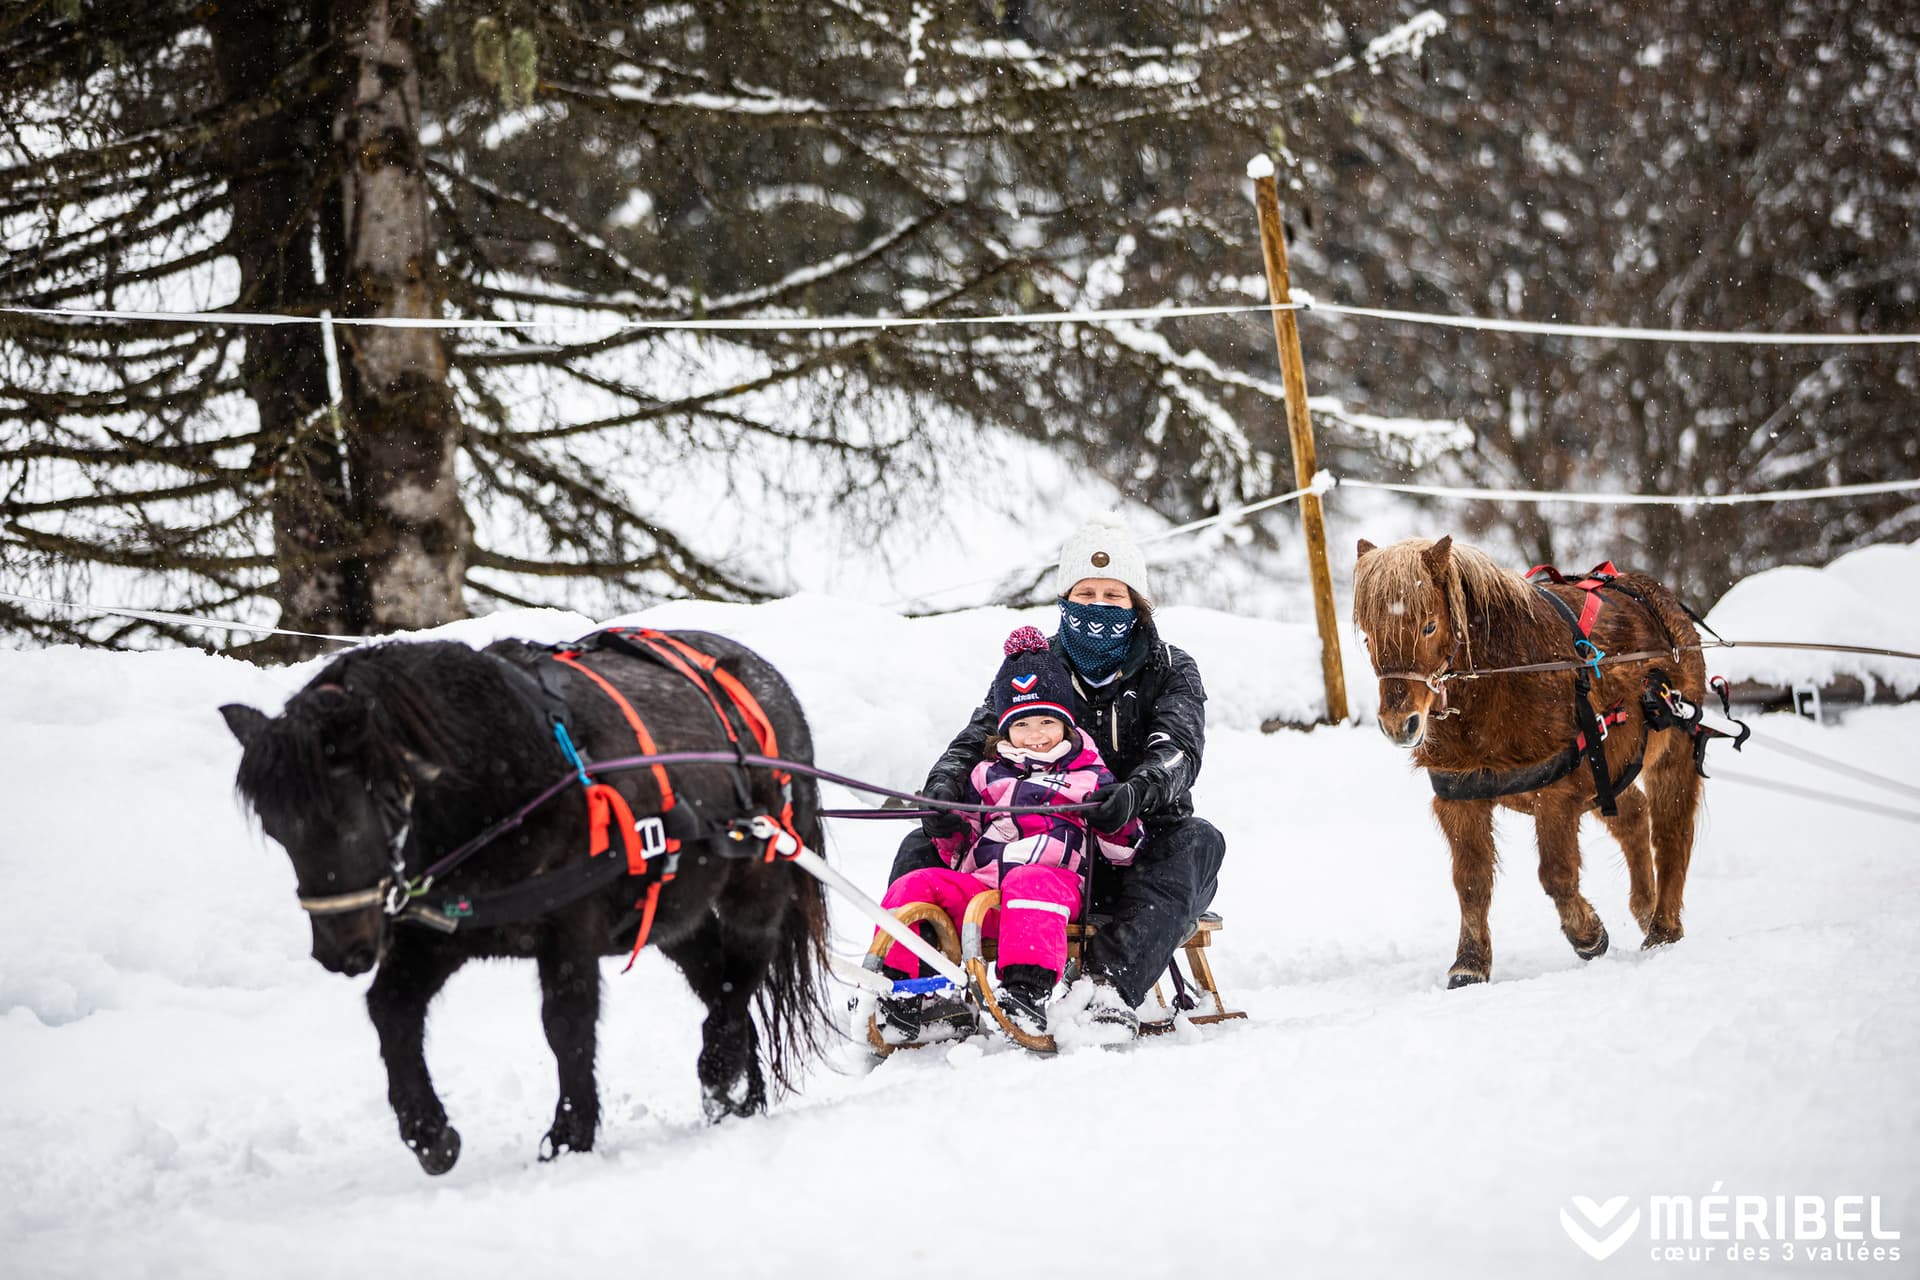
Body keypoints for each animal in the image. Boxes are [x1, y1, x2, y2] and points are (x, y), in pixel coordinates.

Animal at [219, 630, 829, 1174]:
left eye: (346, 820)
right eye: (276, 829)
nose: (339, 951)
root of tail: (770, 685)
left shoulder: (571, 928)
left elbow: (566, 1022)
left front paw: (569, 1135)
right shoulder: (442, 931)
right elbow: (390, 1008)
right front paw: (429, 1134)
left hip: (757, 876)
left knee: (741, 973)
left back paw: (719, 1069)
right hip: (674, 916)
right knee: (718, 981)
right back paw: (738, 1093)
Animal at [1351, 536, 1710, 988]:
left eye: (1429, 626)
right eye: (1368, 637)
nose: (1400, 724)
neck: (1508, 677)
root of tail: (1654, 596)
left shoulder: (1557, 797)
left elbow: (1556, 875)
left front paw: (1588, 934)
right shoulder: (1460, 801)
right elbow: (1470, 883)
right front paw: (1469, 964)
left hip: (1671, 752)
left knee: (1670, 832)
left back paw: (1663, 929)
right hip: (1607, 773)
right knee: (1633, 816)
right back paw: (1646, 910)